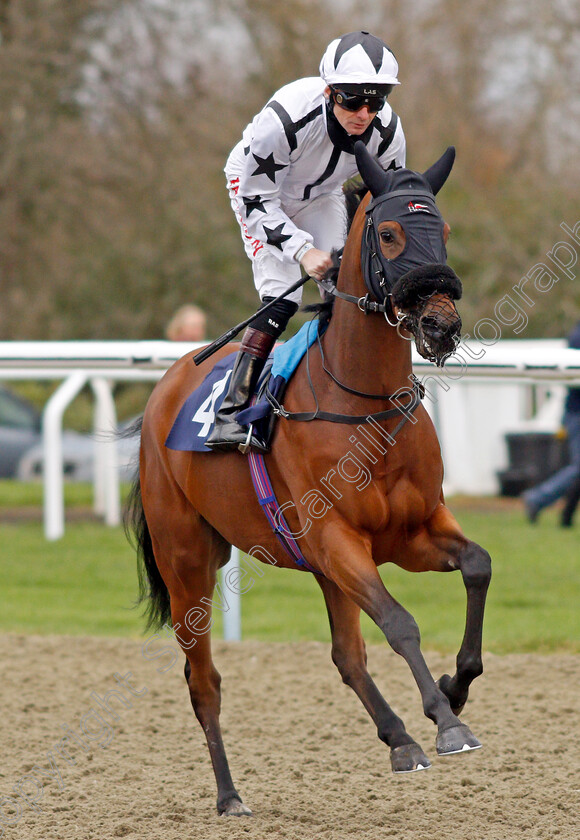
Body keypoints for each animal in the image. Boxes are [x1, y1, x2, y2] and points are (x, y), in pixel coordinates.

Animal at [125, 141, 490, 816]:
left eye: (446, 231)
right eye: (391, 233)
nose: (442, 325)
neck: (365, 404)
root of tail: (164, 390)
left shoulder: (410, 532)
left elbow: (476, 565)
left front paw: (453, 688)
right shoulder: (339, 538)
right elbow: (400, 621)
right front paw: (447, 721)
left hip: (316, 567)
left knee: (346, 655)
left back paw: (400, 740)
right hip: (186, 560)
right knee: (203, 681)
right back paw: (229, 796)